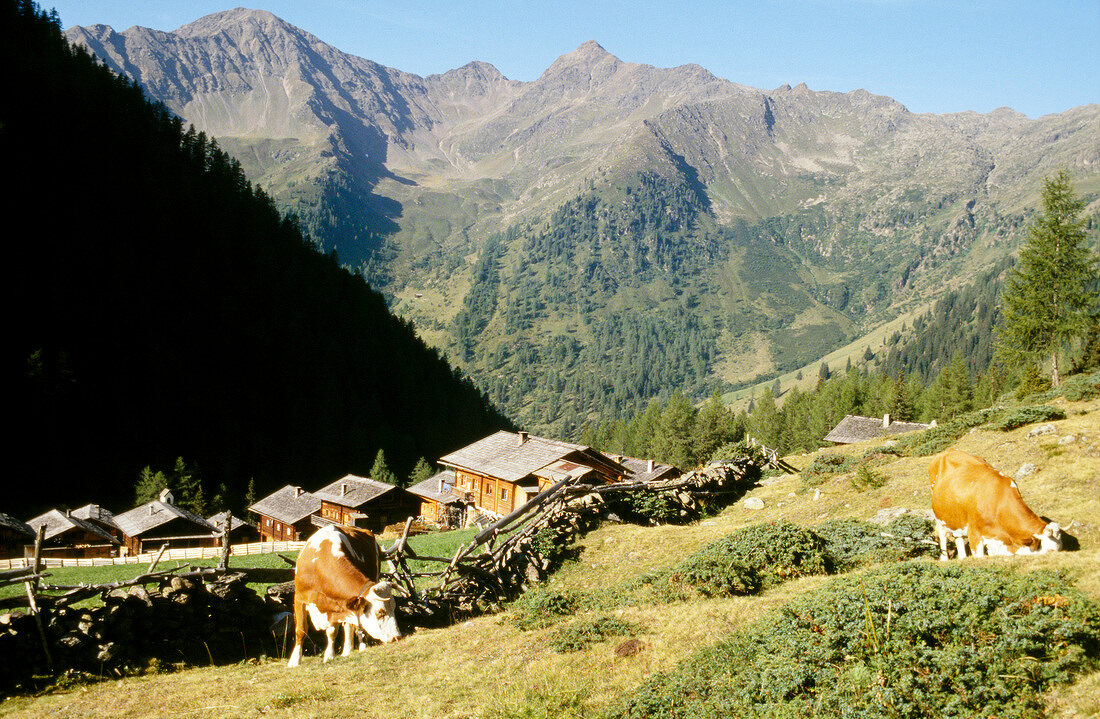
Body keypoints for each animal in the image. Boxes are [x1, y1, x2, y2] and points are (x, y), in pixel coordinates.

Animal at [286, 523, 402, 668]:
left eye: (394, 608)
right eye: (380, 612)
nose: (397, 637)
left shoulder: (337, 606)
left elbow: (332, 631)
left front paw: (329, 655)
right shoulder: (300, 598)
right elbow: (301, 630)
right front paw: (295, 661)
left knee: (351, 626)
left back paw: (351, 649)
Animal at [924, 450, 1060, 562]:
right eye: (1050, 551)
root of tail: (949, 451)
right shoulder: (974, 534)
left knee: (958, 537)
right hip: (940, 515)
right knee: (943, 535)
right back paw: (944, 558)